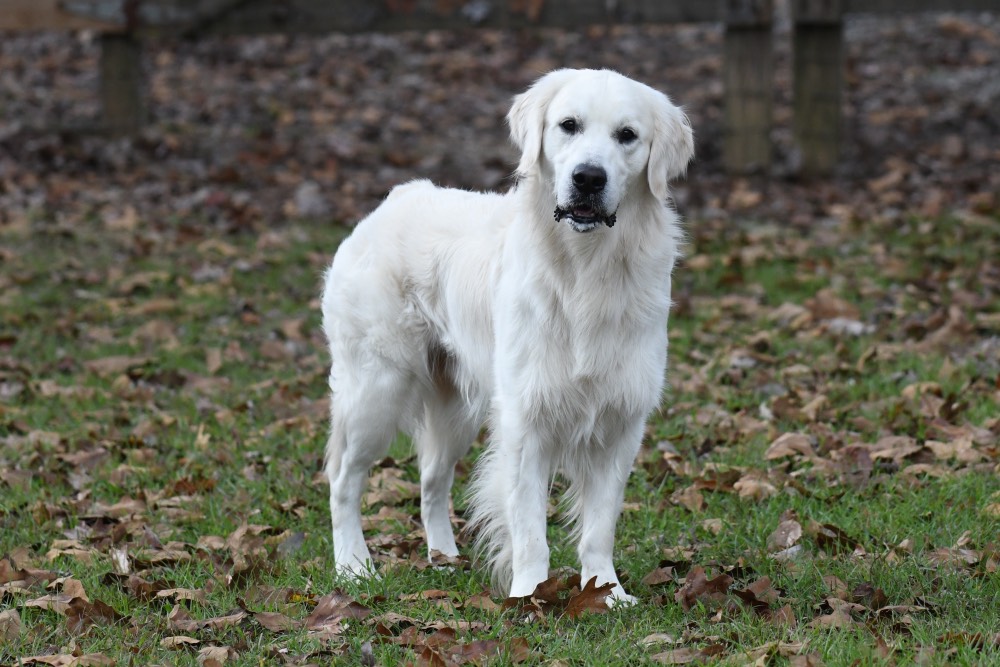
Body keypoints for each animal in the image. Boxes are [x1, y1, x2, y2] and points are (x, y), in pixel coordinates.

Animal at [324, 69, 692, 604]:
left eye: (627, 135)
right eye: (568, 125)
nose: (589, 178)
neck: (585, 270)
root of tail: (393, 200)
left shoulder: (621, 420)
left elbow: (599, 527)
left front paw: (606, 592)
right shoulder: (525, 421)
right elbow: (530, 528)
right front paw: (531, 594)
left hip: (455, 408)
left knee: (431, 480)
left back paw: (443, 558)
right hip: (376, 390)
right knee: (343, 481)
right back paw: (353, 566)